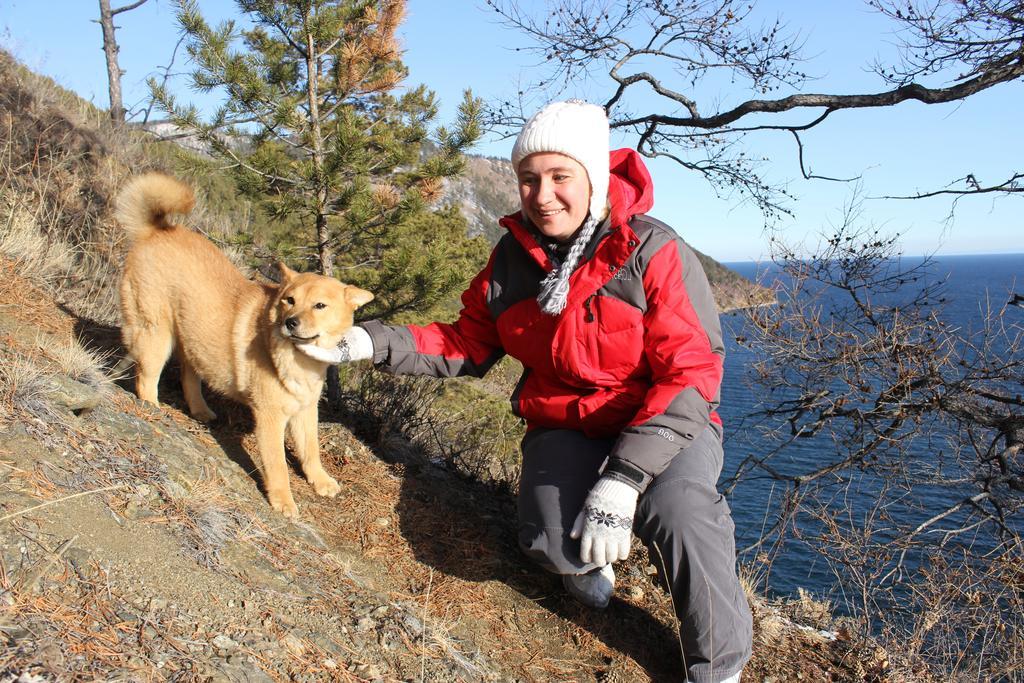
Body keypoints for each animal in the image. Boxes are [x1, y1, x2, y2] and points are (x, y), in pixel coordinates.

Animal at [116, 172, 372, 518]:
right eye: (290, 300)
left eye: (320, 305)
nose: (290, 322)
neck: (298, 360)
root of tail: (156, 230)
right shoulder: (270, 418)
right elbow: (278, 467)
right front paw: (283, 501)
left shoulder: (305, 411)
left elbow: (311, 451)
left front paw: (320, 480)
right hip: (157, 333)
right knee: (147, 378)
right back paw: (153, 408)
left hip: (191, 338)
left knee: (188, 375)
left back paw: (200, 410)